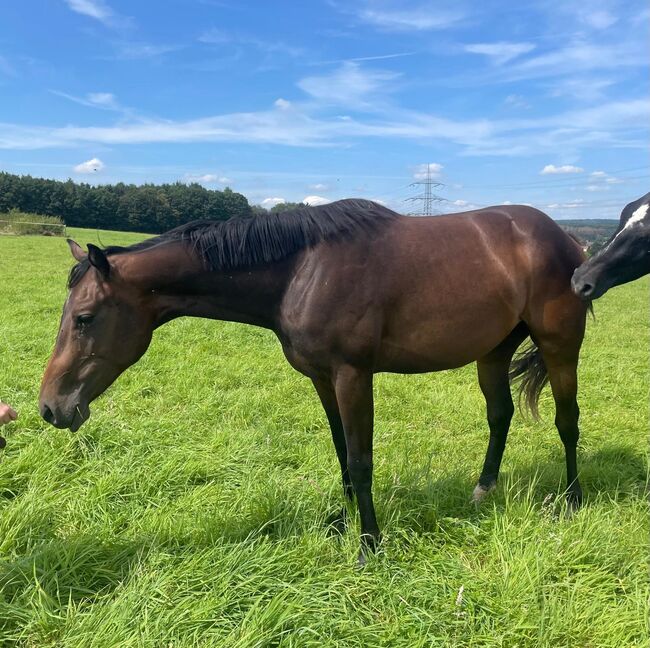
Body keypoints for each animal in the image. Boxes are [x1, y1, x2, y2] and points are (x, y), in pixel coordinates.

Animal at [39, 201, 588, 560]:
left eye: (84, 318)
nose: (50, 407)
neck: (302, 269)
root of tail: (567, 238)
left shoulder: (352, 376)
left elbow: (362, 461)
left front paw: (369, 546)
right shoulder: (323, 379)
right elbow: (342, 451)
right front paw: (343, 524)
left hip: (560, 348)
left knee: (567, 421)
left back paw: (573, 501)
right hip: (493, 351)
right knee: (500, 415)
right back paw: (484, 488)